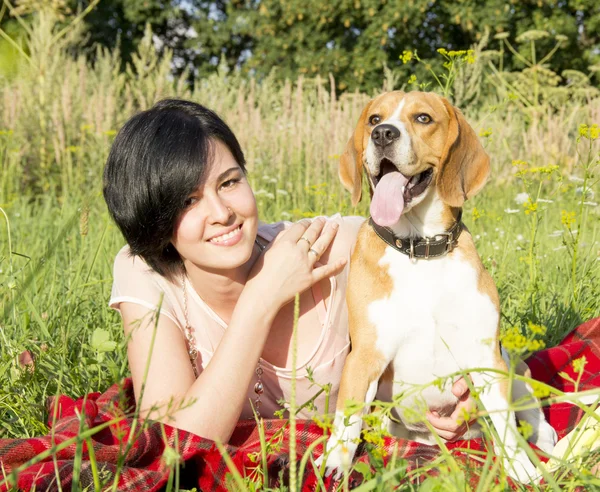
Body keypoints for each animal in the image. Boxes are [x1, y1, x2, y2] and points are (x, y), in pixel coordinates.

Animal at [318, 90, 556, 482]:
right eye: (374, 119)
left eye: (423, 118)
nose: (382, 134)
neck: (420, 249)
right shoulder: (366, 355)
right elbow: (347, 422)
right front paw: (334, 462)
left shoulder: (484, 355)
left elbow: (505, 423)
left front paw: (521, 467)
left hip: (510, 363)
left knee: (533, 417)